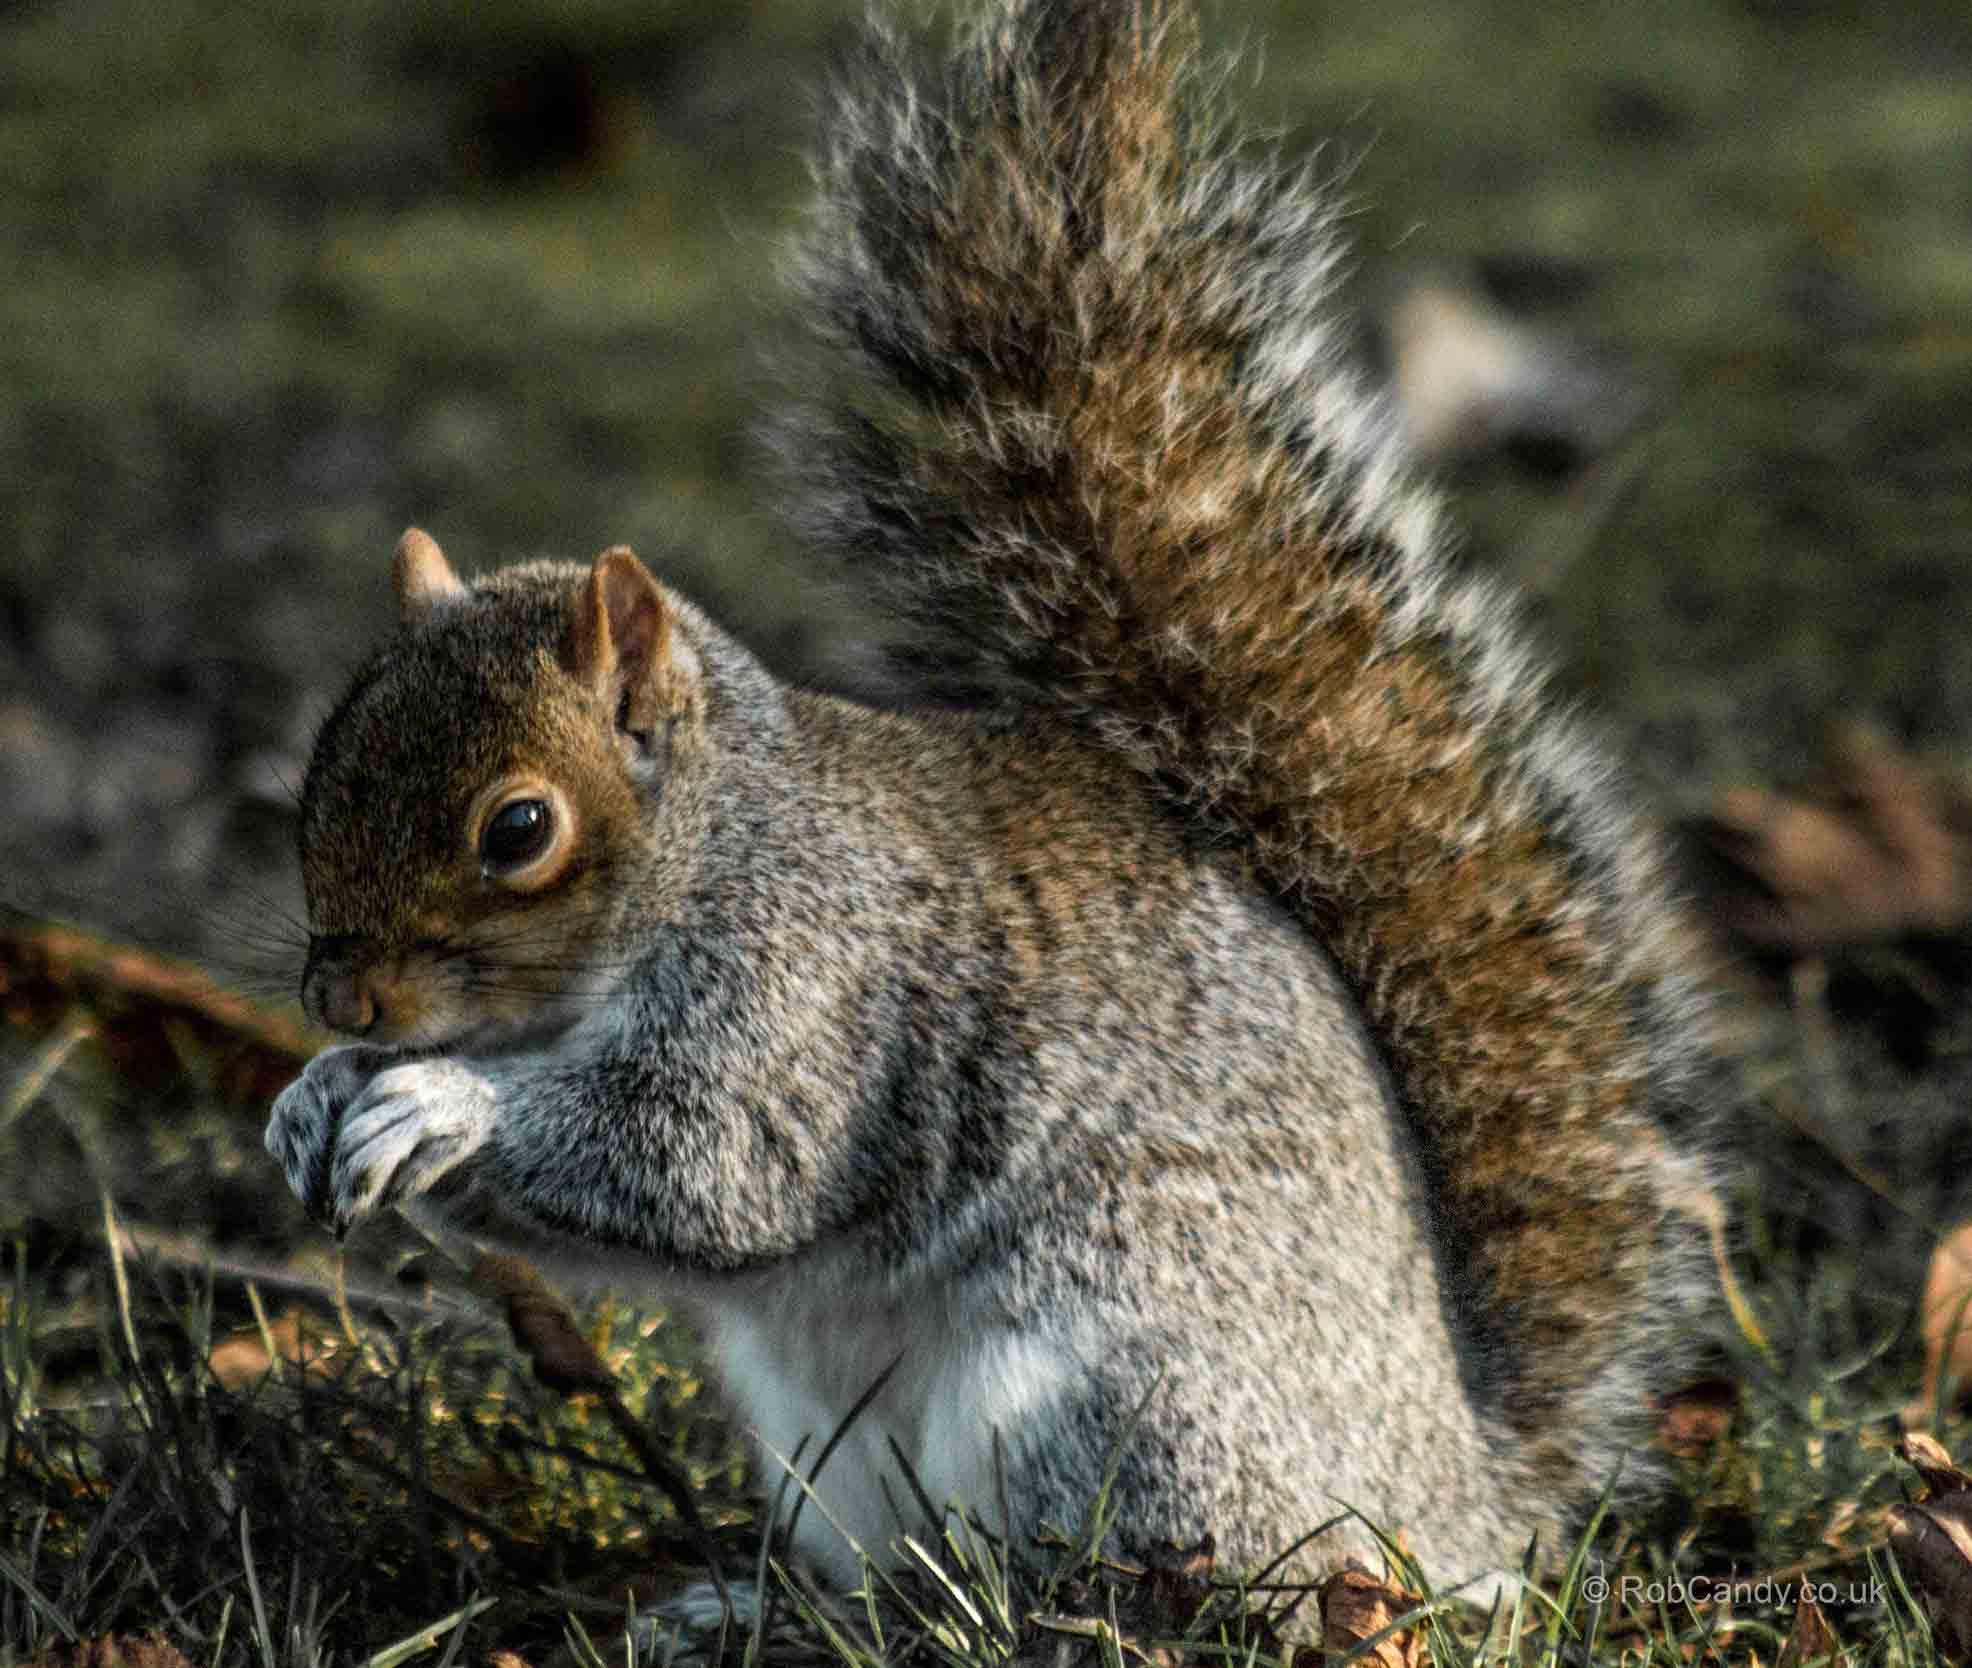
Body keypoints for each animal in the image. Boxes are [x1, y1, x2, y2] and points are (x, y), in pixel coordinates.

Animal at [262, 0, 1727, 1600]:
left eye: (519, 830)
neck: (716, 850)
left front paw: (439, 1105)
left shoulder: (812, 992)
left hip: (1127, 1395)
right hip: (830, 1446)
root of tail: (1455, 1487)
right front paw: (314, 1098)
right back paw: (743, 1605)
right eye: (319, 770)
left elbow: (710, 1168)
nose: (342, 1003)